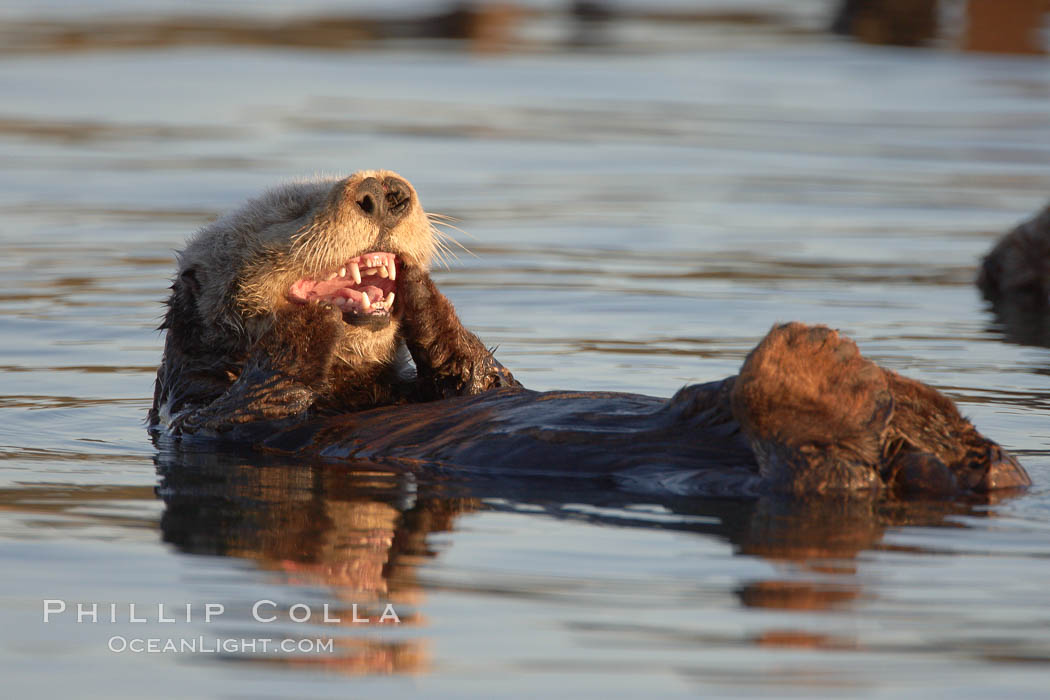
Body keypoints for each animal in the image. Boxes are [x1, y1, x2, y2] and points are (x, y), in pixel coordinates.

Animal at [150, 170, 1033, 497]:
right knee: (825, 472)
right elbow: (262, 395)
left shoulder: (460, 377)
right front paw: (316, 311)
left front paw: (420, 289)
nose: (385, 190)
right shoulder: (203, 419)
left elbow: (479, 376)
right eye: (291, 208)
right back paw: (820, 364)